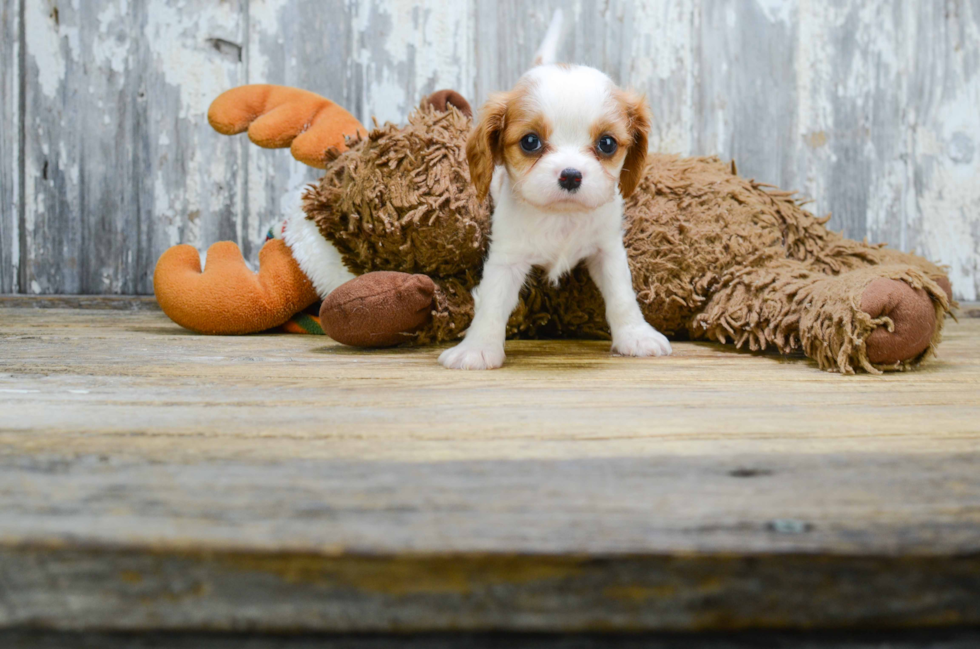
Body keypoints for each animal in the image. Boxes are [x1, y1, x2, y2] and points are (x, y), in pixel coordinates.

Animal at [440, 13, 668, 370]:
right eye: (530, 141)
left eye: (607, 143)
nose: (571, 176)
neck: (562, 217)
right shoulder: (506, 257)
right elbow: (491, 302)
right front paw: (477, 348)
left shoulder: (608, 250)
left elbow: (622, 294)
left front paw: (635, 335)